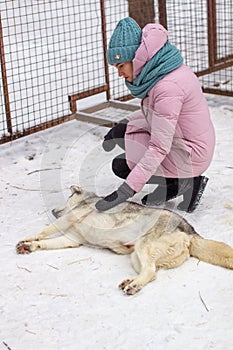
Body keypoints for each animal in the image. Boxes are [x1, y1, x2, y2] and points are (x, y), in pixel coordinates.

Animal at [16, 186, 233, 296]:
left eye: (68, 196)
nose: (53, 210)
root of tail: (191, 232)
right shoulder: (71, 239)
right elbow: (45, 242)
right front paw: (31, 246)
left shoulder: (66, 220)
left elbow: (44, 231)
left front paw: (28, 239)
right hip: (136, 256)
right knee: (152, 273)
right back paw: (132, 281)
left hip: (142, 246)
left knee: (151, 271)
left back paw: (133, 286)